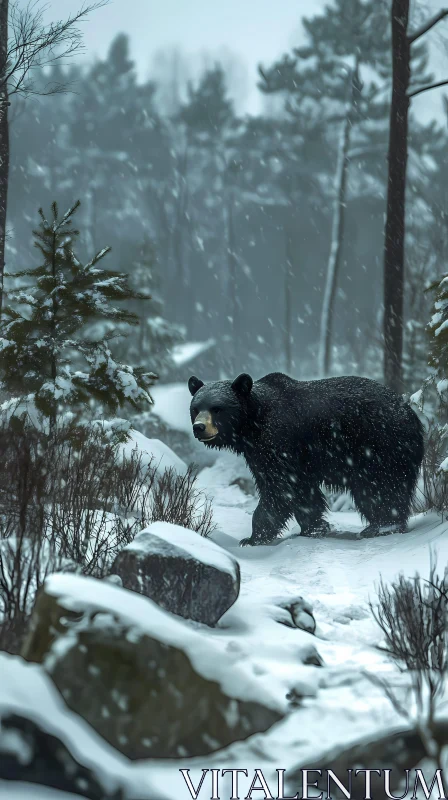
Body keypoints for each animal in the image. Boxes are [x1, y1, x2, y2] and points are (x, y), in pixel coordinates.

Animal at [187, 372, 426, 548]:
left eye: (217, 409)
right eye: (196, 409)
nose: (199, 427)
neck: (253, 425)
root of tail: (410, 413)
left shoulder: (279, 442)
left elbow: (279, 487)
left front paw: (252, 538)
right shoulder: (264, 453)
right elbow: (301, 491)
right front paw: (315, 527)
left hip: (380, 446)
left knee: (379, 487)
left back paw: (382, 526)